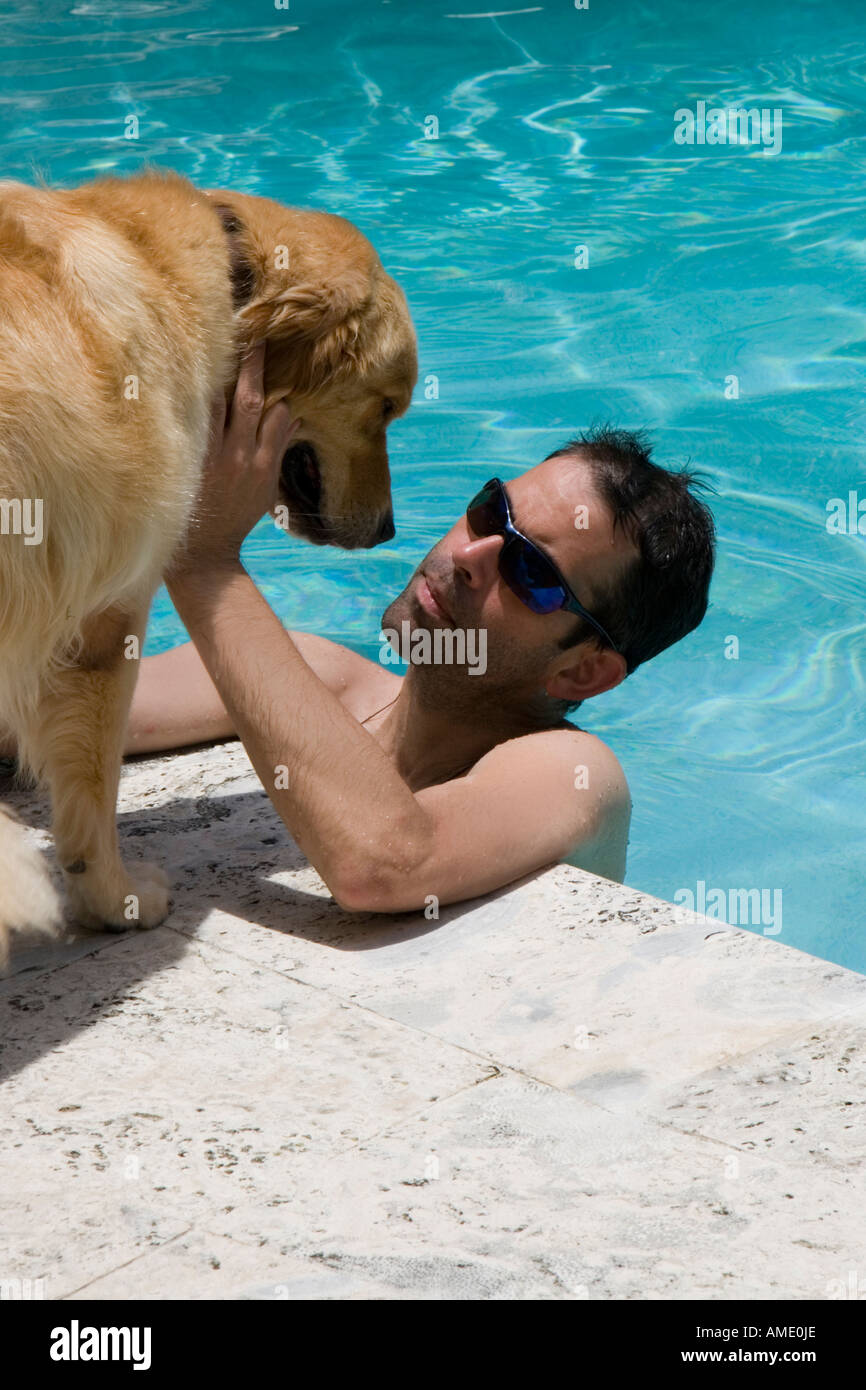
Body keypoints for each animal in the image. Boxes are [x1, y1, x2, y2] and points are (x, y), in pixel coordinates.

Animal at [0, 165, 417, 967]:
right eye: (386, 408)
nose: (388, 528)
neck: (229, 277)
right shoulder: (108, 611)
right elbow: (94, 780)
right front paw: (114, 899)